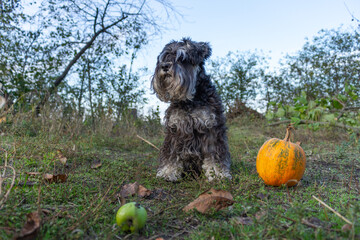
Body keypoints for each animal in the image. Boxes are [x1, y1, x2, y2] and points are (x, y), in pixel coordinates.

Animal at [150, 37, 232, 181]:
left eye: (182, 58)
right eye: (164, 58)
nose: (165, 66)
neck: (190, 100)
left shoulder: (211, 128)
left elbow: (214, 153)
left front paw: (217, 174)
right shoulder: (175, 129)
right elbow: (171, 154)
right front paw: (168, 172)